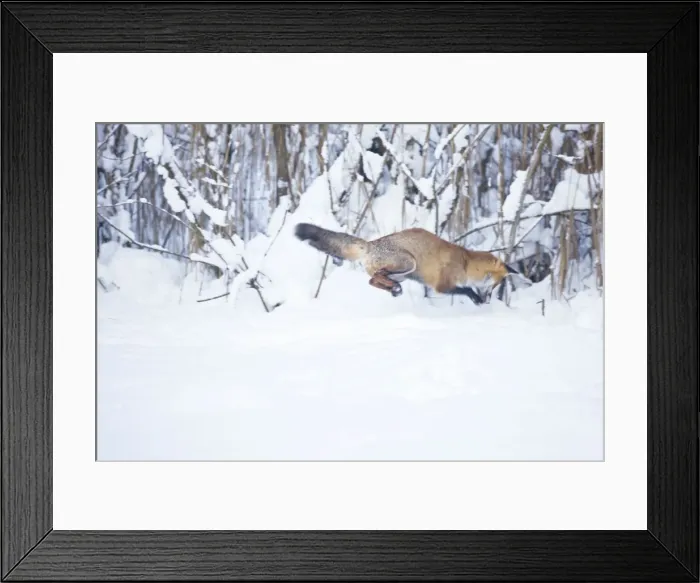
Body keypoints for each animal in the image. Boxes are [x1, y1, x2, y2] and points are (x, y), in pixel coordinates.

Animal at [294, 222, 531, 305]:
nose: (489, 299)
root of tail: (370, 244)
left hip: (406, 273)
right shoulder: (442, 285)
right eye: (496, 285)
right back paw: (393, 288)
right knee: (374, 278)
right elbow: (464, 290)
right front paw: (475, 299)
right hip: (408, 263)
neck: (466, 264)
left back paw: (393, 289)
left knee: (374, 281)